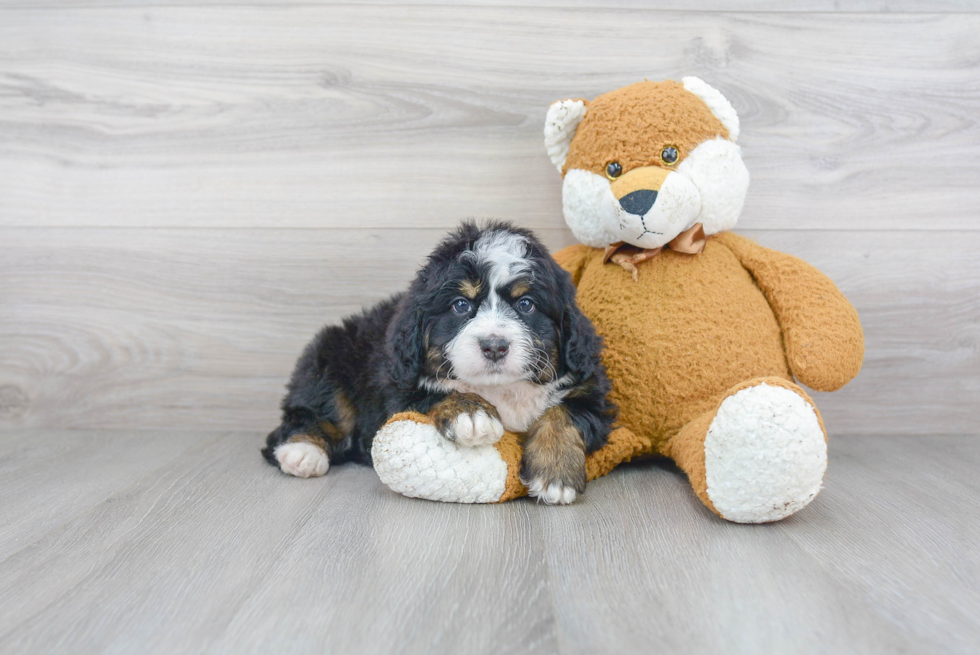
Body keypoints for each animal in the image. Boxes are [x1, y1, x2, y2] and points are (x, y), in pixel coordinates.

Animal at [264, 220, 616, 502]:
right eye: (460, 305)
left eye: (526, 304)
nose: (494, 346)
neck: (500, 388)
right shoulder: (398, 387)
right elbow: (438, 392)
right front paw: (471, 413)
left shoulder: (591, 391)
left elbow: (563, 413)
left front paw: (555, 473)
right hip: (328, 360)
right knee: (314, 414)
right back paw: (302, 452)